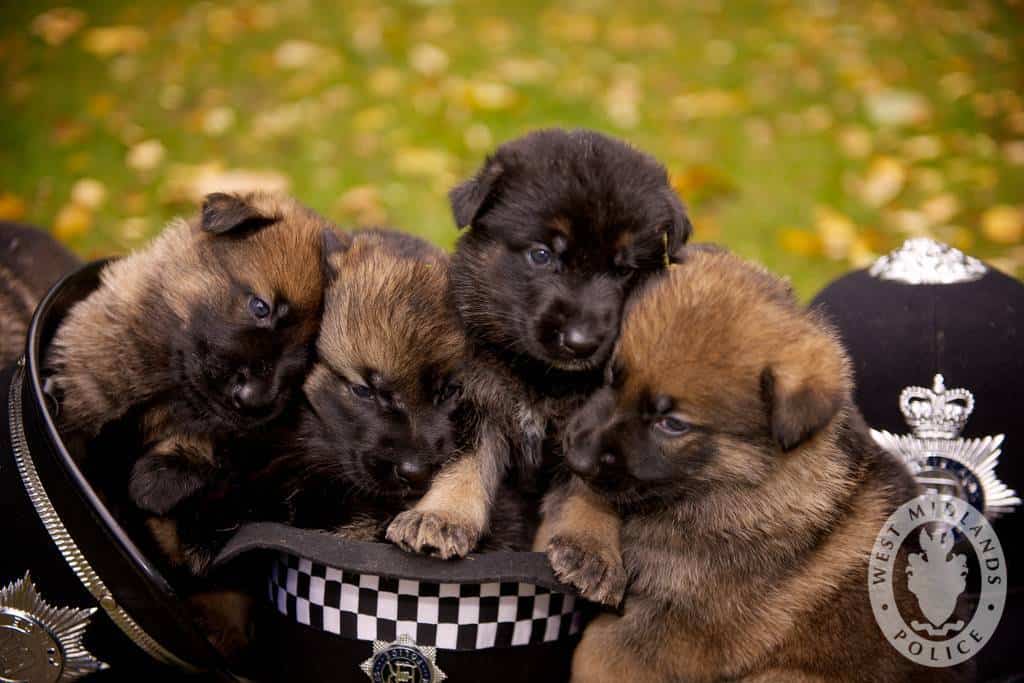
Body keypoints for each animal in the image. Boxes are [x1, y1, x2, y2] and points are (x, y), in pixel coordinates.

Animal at [387, 129, 692, 565]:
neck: (541, 377)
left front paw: (589, 545)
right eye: (542, 254)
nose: (581, 343)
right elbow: (463, 463)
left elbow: (589, 491)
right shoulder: (475, 399)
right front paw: (440, 516)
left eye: (624, 270)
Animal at [544, 249, 966, 683]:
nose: (574, 456)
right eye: (612, 376)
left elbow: (597, 651)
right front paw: (588, 548)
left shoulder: (686, 634)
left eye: (673, 424)